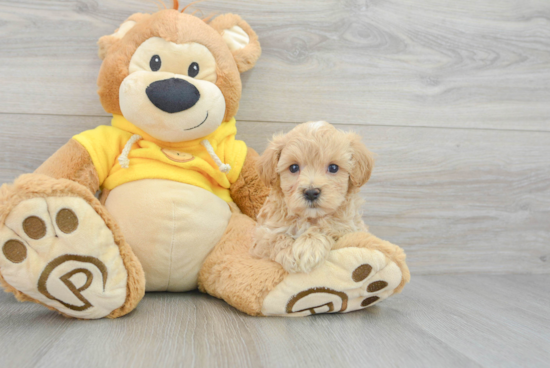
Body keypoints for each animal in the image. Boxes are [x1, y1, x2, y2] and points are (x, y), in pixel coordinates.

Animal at [253, 121, 376, 274]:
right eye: (293, 168)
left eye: (333, 168)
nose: (311, 192)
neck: (309, 218)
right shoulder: (260, 238)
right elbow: (274, 238)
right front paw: (291, 254)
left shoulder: (352, 229)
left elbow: (328, 228)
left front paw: (308, 247)